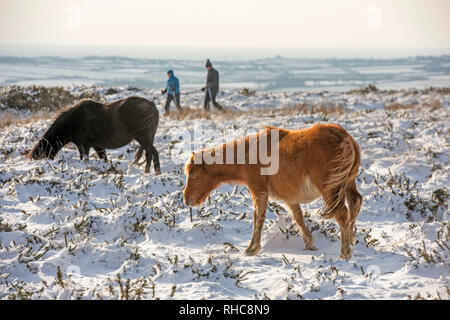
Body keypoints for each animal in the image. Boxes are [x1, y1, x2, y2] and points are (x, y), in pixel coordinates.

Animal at [27, 96, 161, 174]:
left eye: (39, 155)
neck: (72, 122)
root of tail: (152, 107)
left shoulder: (83, 146)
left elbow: (85, 159)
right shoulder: (98, 146)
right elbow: (104, 159)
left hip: (142, 137)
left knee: (153, 153)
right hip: (147, 138)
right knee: (149, 154)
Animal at [185, 123, 364, 260]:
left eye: (193, 175)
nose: (187, 199)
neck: (249, 154)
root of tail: (346, 139)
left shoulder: (259, 191)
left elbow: (258, 218)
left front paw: (252, 249)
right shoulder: (290, 199)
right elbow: (298, 218)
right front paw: (309, 243)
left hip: (330, 189)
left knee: (342, 214)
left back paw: (344, 253)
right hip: (348, 184)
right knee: (355, 204)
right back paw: (351, 239)